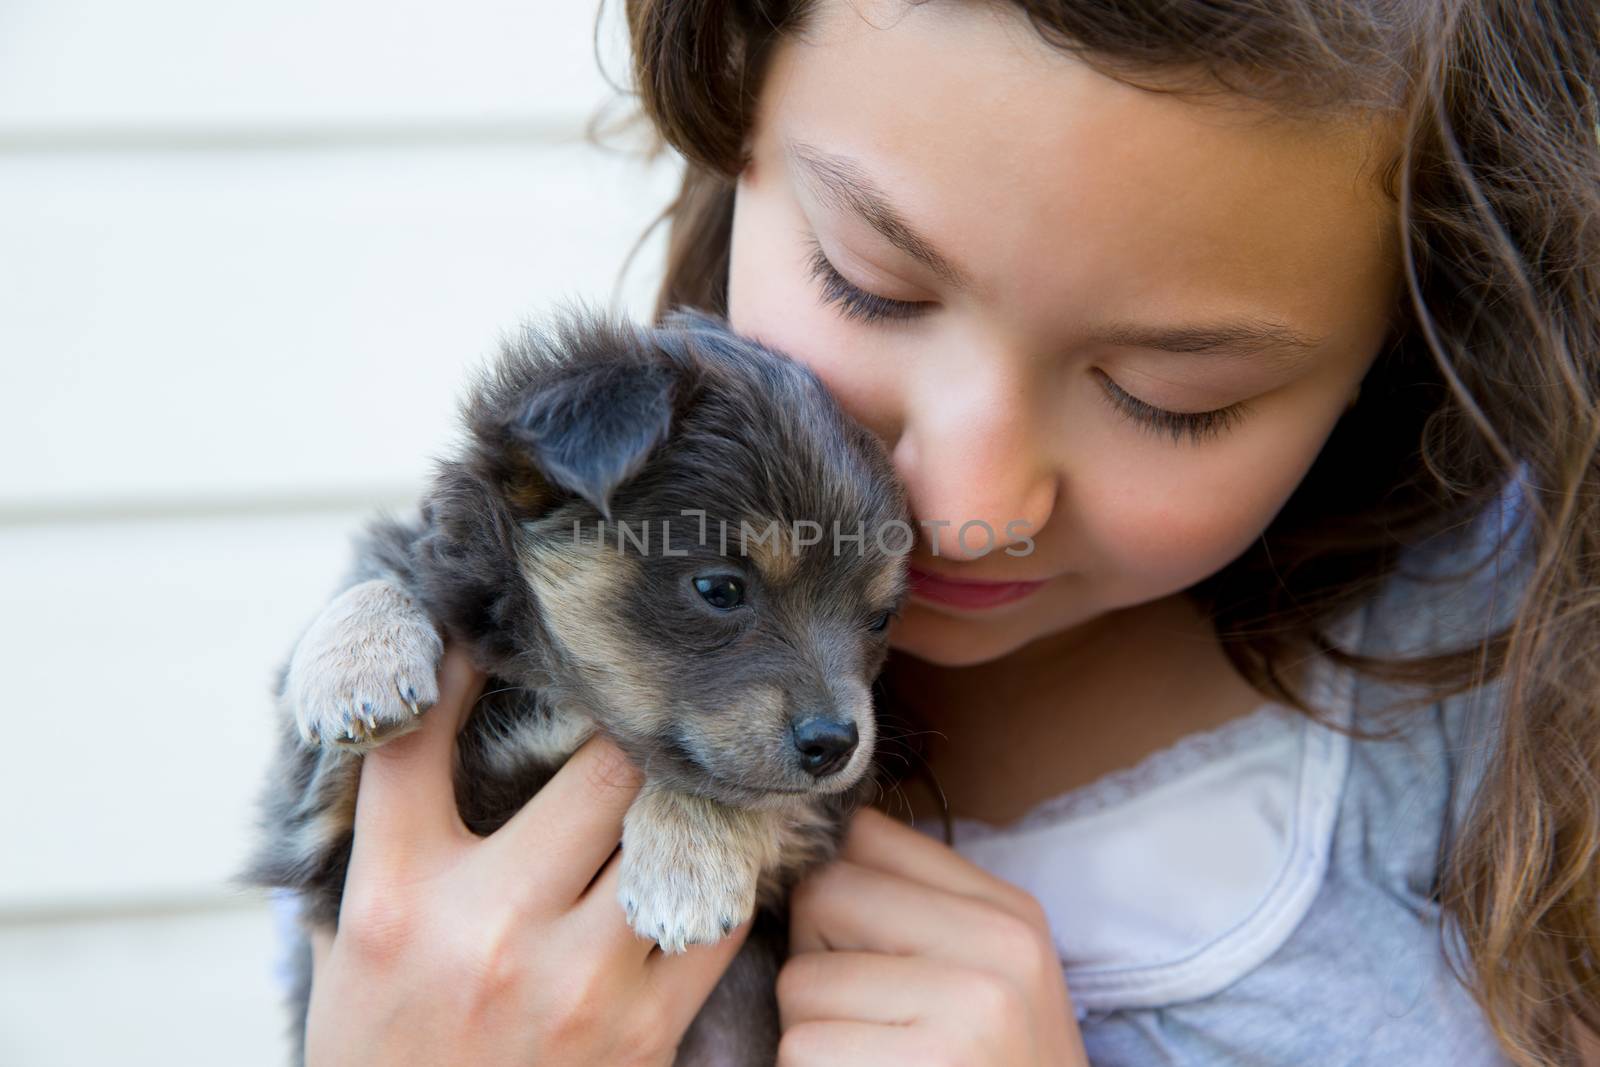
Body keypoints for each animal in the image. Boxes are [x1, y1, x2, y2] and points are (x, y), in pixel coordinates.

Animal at [241, 303, 908, 1062]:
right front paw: (358, 664)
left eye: (880, 617)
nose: (836, 743)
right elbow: (386, 568)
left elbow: (725, 783)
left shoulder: (825, 809)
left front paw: (687, 867)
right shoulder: (320, 836)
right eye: (719, 588)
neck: (564, 694)